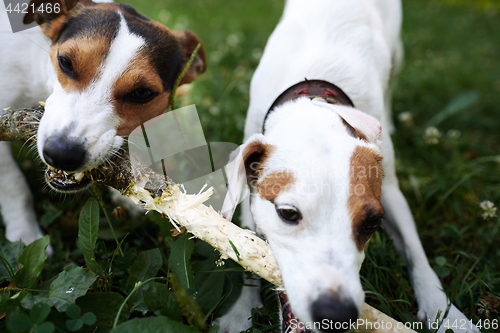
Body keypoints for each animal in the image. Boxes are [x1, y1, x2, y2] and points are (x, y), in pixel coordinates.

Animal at [218, 0, 476, 332]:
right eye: (287, 213)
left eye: (373, 223)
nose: (337, 313)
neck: (313, 102)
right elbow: (245, 243)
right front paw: (239, 311)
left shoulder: (390, 191)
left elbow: (415, 250)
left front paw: (442, 309)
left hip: (397, 54)